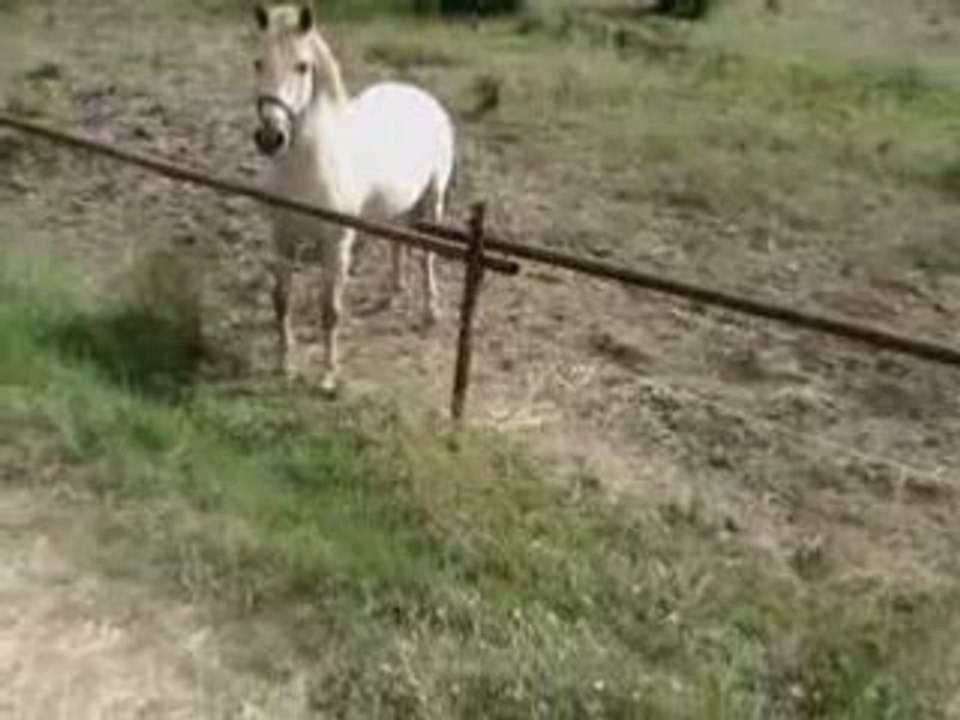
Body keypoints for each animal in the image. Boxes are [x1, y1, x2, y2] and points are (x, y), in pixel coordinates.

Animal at [250, 3, 456, 392]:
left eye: (302, 66)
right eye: (257, 62)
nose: (270, 137)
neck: (310, 164)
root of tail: (420, 96)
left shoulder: (336, 244)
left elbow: (330, 311)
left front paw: (329, 377)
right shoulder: (282, 238)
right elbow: (281, 301)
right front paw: (284, 366)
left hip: (432, 200)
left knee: (426, 254)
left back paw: (431, 311)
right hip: (396, 208)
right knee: (398, 242)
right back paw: (393, 292)